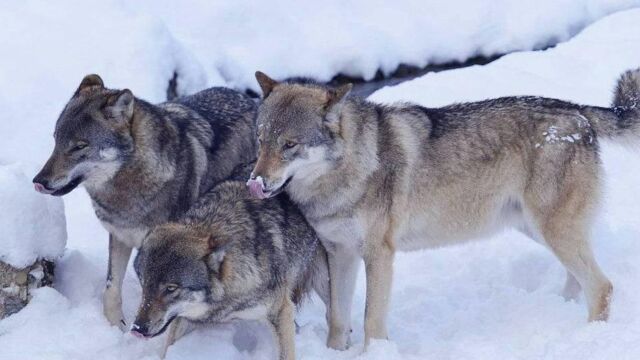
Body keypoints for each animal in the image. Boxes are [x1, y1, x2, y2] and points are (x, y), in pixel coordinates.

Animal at [31, 74, 258, 330]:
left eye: (79, 146)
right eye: (56, 141)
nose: (38, 181)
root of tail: (251, 101)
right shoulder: (120, 236)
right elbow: (111, 288)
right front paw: (114, 327)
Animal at [245, 69, 640, 348]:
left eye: (290, 145)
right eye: (261, 141)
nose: (255, 182)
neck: (346, 172)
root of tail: (577, 110)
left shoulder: (379, 254)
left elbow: (371, 319)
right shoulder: (339, 253)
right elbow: (338, 319)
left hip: (552, 230)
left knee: (602, 286)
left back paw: (588, 338)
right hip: (538, 229)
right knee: (579, 279)